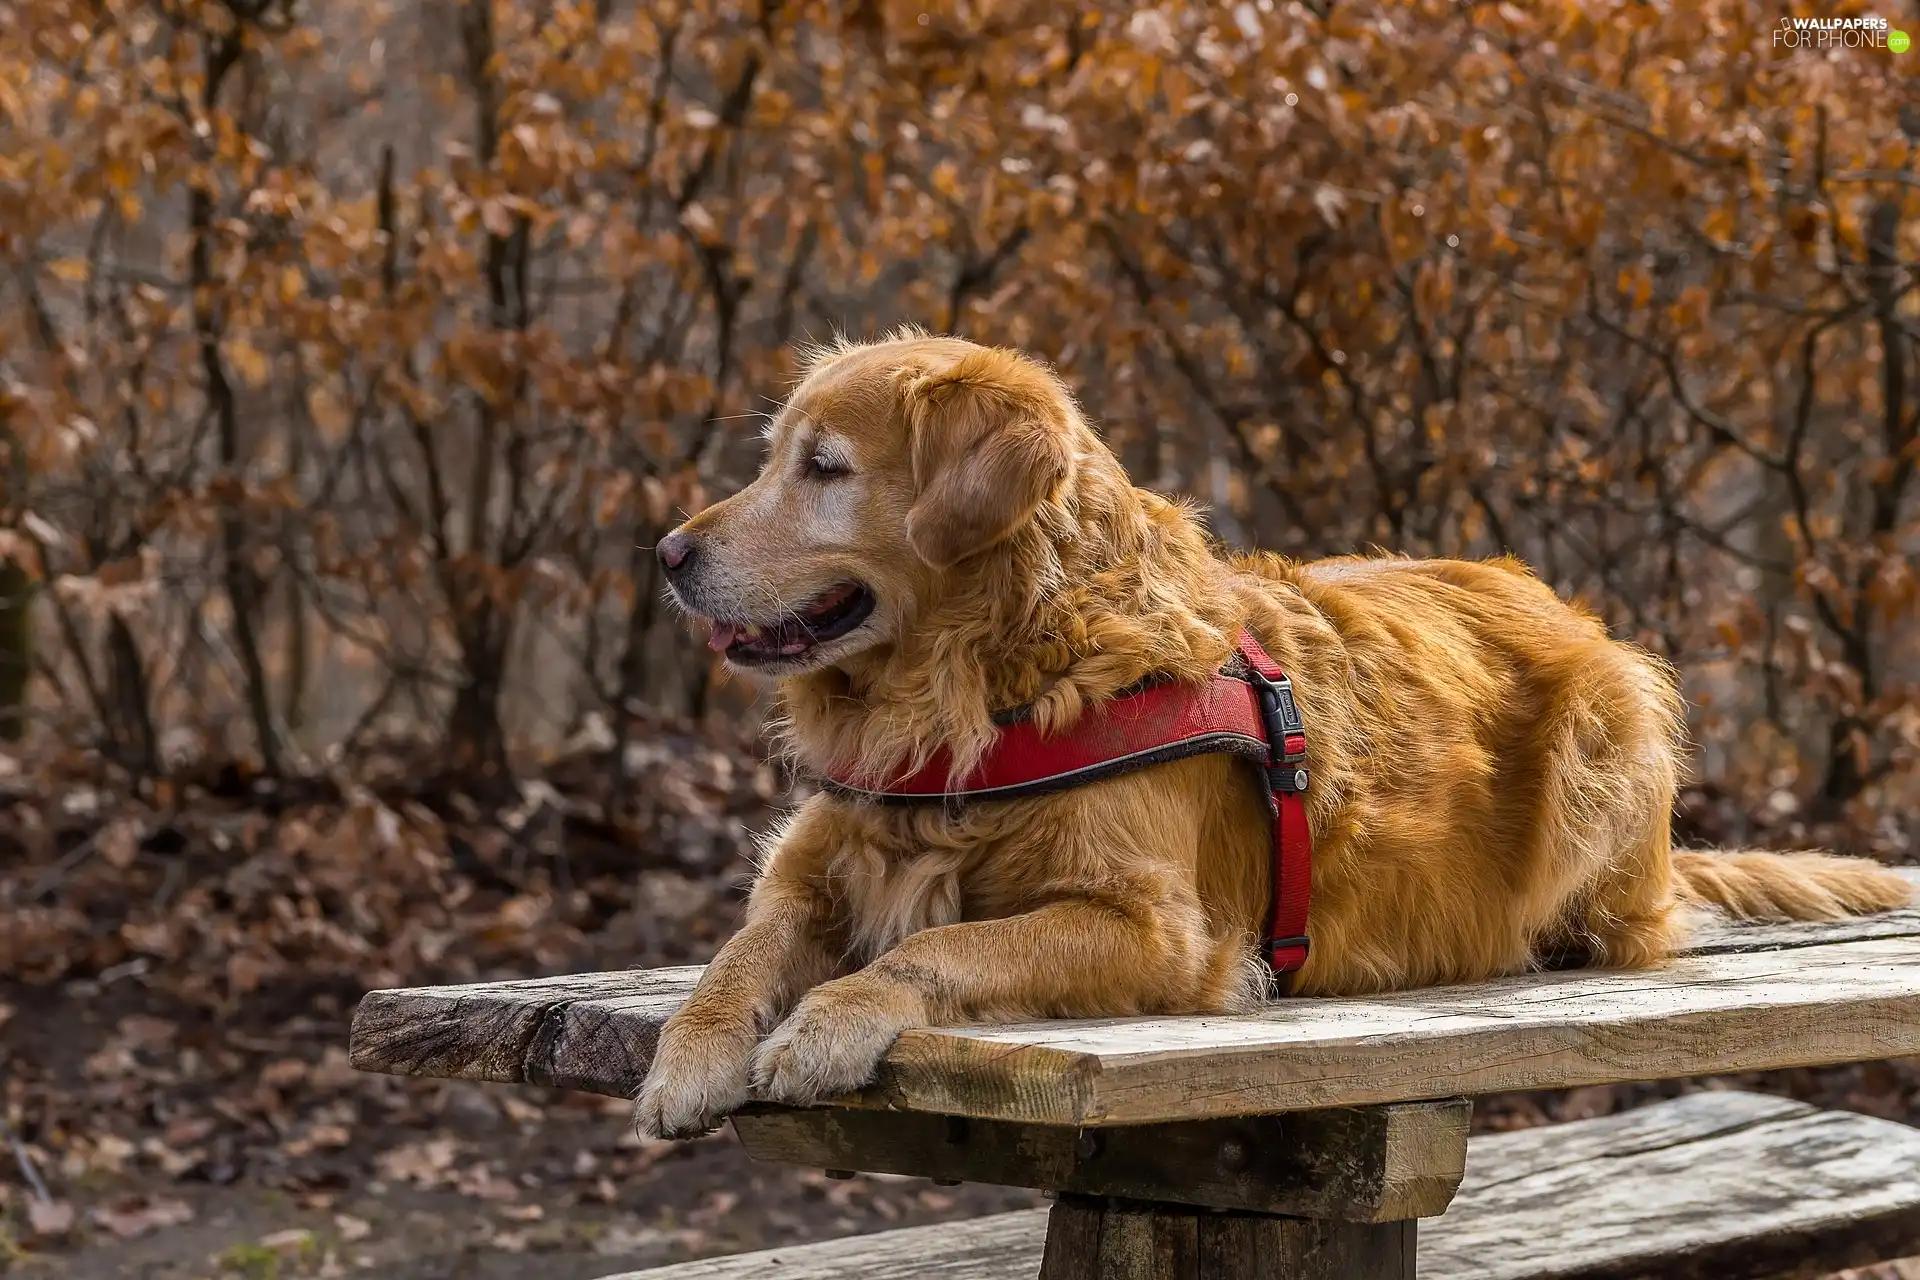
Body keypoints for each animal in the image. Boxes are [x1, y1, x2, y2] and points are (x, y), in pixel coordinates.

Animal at [633, 330, 1904, 1143]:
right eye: (772, 455)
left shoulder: (1162, 933)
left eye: (826, 468)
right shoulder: (815, 866)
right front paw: (688, 1056)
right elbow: (738, 951)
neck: (980, 693)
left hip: (1614, 724)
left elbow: (938, 947)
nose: (668, 553)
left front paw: (828, 1024)